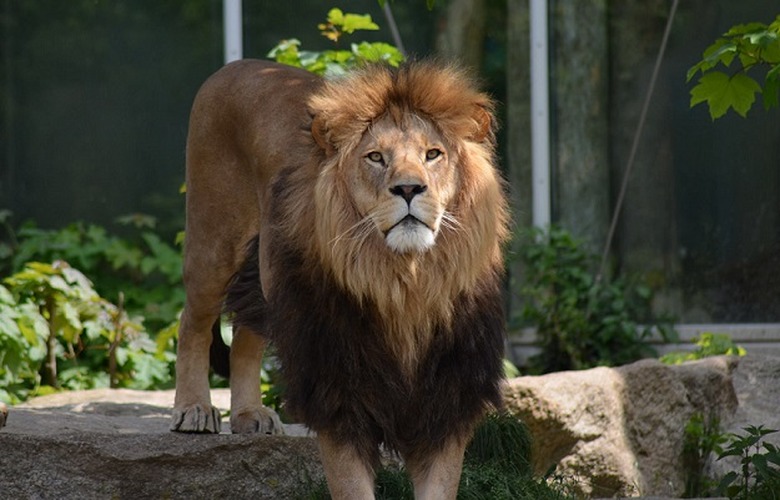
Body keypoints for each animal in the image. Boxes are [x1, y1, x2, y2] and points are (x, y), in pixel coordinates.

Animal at [171, 58, 509, 499]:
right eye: (376, 157)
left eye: (433, 154)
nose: (409, 188)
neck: (405, 283)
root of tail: (237, 65)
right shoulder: (338, 391)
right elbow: (352, 486)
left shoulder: (447, 399)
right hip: (213, 241)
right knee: (192, 321)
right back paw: (192, 408)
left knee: (246, 333)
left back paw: (250, 414)